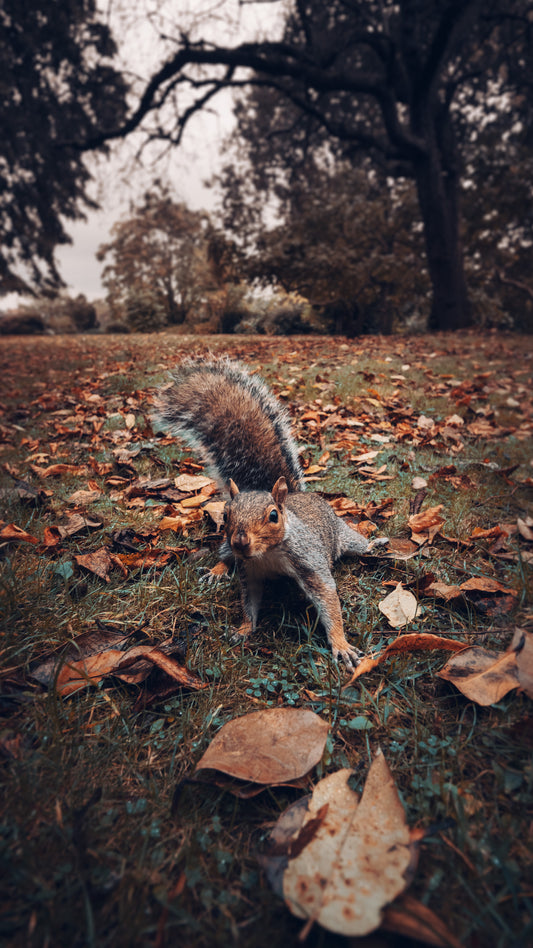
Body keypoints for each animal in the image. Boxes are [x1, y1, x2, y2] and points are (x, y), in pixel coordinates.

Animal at [155, 357, 382, 670]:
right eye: (225, 515)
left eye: (273, 516)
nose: (241, 541)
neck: (268, 555)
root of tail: (298, 494)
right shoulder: (249, 571)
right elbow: (249, 602)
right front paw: (243, 629)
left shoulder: (310, 561)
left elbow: (328, 599)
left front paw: (341, 644)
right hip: (227, 546)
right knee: (224, 556)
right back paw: (217, 570)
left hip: (342, 535)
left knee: (356, 543)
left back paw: (373, 545)